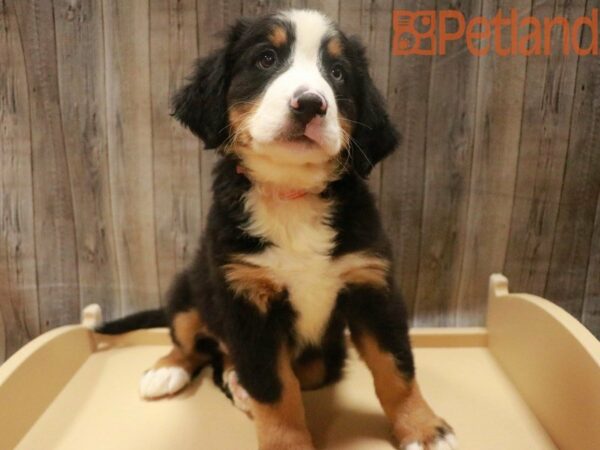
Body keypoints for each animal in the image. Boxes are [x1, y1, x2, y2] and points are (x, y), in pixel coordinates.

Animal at [97, 7, 454, 450]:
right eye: (266, 59)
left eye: (337, 72)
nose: (310, 103)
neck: (290, 194)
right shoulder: (247, 299)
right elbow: (274, 388)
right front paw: (285, 439)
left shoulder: (371, 285)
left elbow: (396, 366)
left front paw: (423, 430)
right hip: (187, 290)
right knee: (189, 342)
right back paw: (168, 371)